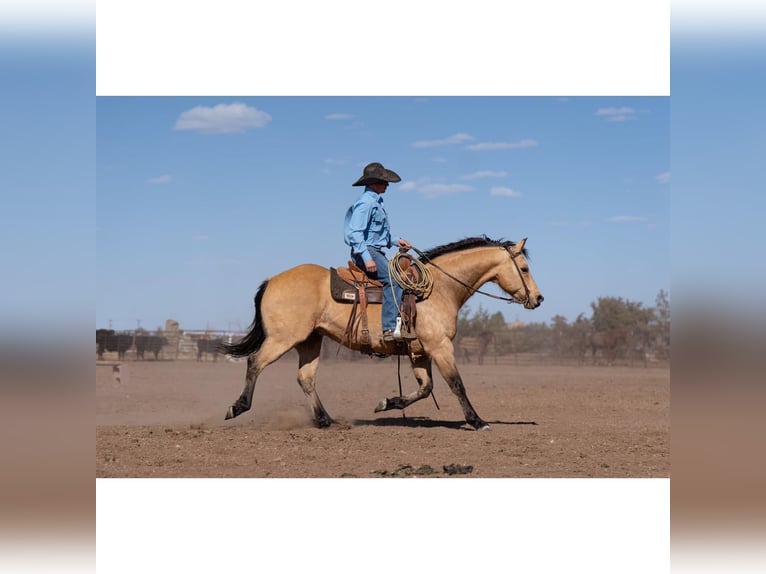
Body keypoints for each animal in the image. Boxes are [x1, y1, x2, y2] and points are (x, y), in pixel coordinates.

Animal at [222, 235, 544, 432]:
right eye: (525, 268)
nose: (539, 299)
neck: (439, 289)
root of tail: (271, 280)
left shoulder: (420, 352)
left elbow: (426, 388)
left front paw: (386, 404)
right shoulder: (440, 347)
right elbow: (456, 384)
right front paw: (477, 421)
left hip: (310, 341)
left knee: (306, 378)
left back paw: (326, 420)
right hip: (283, 338)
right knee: (255, 363)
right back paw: (237, 408)